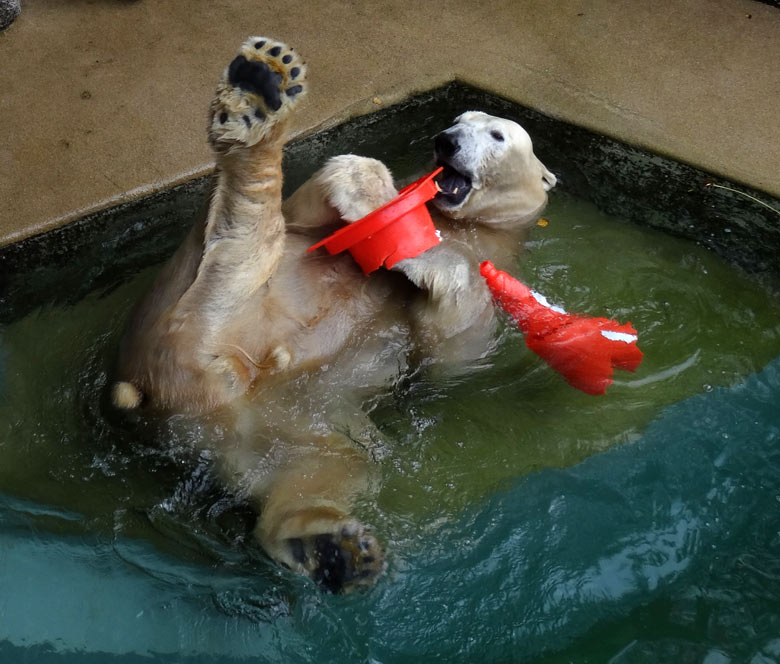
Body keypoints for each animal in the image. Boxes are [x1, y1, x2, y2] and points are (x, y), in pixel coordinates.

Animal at [111, 36, 556, 592]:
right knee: (255, 237)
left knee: (331, 467)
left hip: (284, 421)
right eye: (458, 118)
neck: (470, 225)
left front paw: (412, 247)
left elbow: (449, 348)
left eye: (497, 133)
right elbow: (312, 206)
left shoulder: (493, 287)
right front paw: (368, 194)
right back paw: (258, 96)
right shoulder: (318, 218)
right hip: (184, 301)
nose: (447, 141)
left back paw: (332, 550)